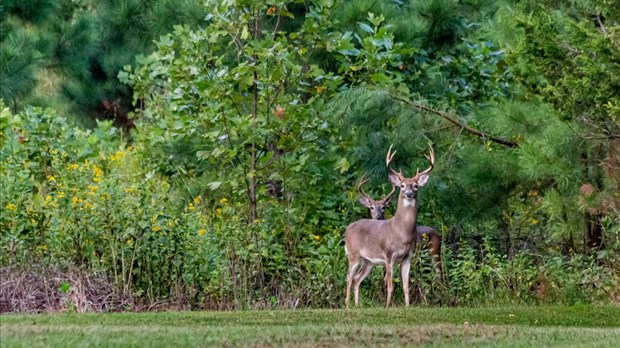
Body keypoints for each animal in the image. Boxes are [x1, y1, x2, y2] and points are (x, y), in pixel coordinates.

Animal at [344, 144, 436, 308]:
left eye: (416, 185)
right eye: (402, 185)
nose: (409, 193)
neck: (401, 231)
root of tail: (348, 228)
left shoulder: (408, 257)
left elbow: (406, 286)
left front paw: (407, 306)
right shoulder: (388, 255)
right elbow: (390, 285)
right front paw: (387, 307)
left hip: (368, 261)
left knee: (357, 279)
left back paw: (357, 305)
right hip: (353, 254)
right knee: (348, 278)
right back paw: (347, 306)